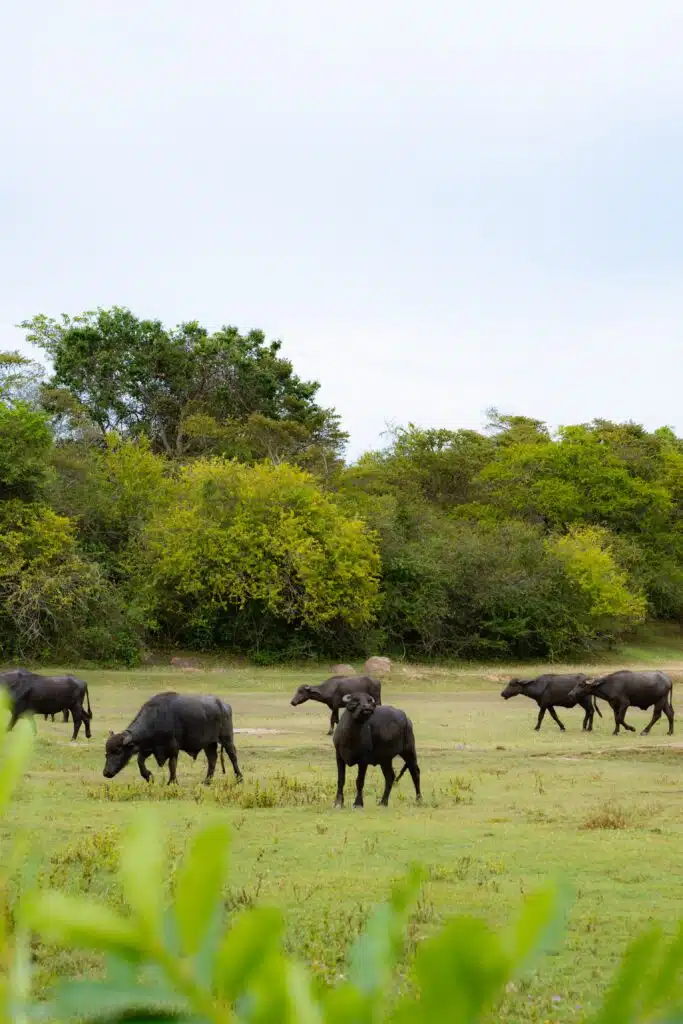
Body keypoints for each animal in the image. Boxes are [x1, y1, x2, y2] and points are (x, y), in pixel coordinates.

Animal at [103, 692, 243, 784]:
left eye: (118, 752)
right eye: (107, 754)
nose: (106, 773)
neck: (156, 718)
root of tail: (224, 705)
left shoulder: (172, 748)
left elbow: (172, 764)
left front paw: (172, 781)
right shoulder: (148, 748)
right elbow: (140, 761)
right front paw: (148, 776)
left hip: (227, 738)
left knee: (232, 756)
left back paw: (239, 778)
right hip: (209, 743)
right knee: (212, 759)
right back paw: (206, 781)